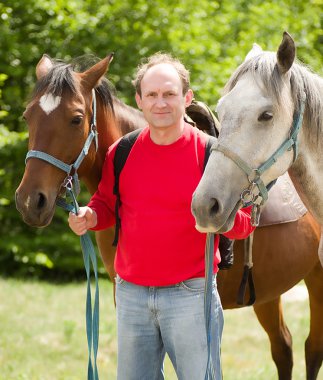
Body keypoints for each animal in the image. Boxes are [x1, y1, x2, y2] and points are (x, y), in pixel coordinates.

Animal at [15, 55, 323, 378]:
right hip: (265, 292)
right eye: (27, 116)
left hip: (315, 281)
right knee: (283, 348)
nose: (30, 201)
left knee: (312, 349)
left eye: (75, 118)